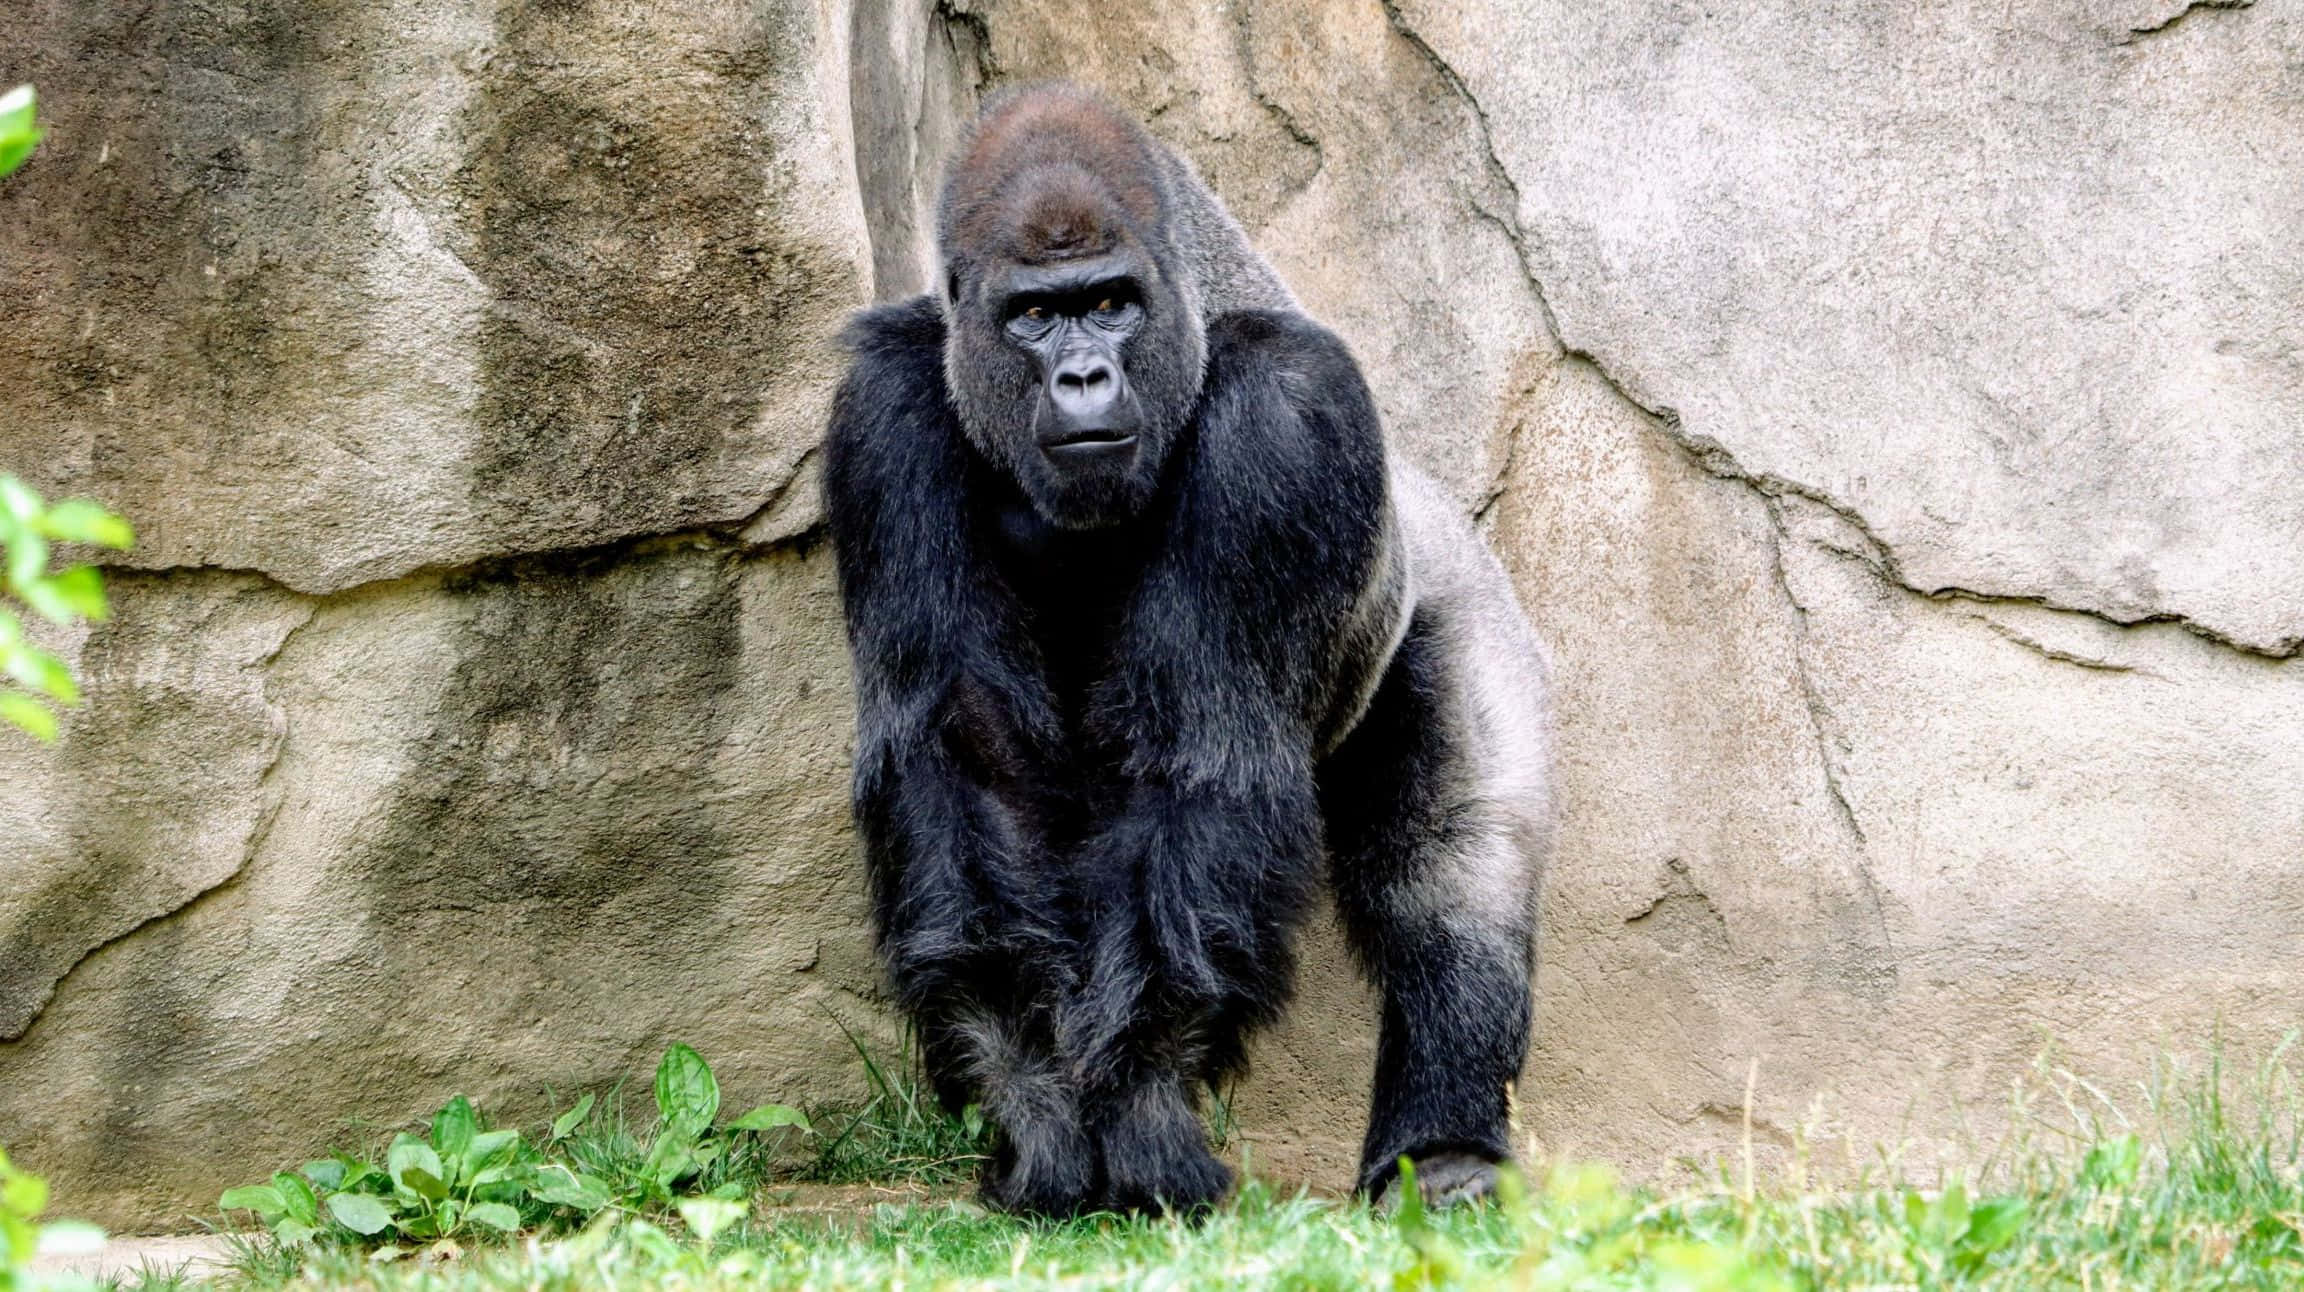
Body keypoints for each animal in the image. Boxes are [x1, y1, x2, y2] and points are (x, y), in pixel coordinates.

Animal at [821, 82, 1553, 1217]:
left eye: (1111, 303)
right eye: (1034, 316)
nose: (1083, 376)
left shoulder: (1287, 419)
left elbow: (1206, 762)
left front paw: (1143, 1110)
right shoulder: (884, 414)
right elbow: (965, 762)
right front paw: (1036, 1106)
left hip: (1460, 599)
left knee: (1452, 869)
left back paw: (1445, 1148)